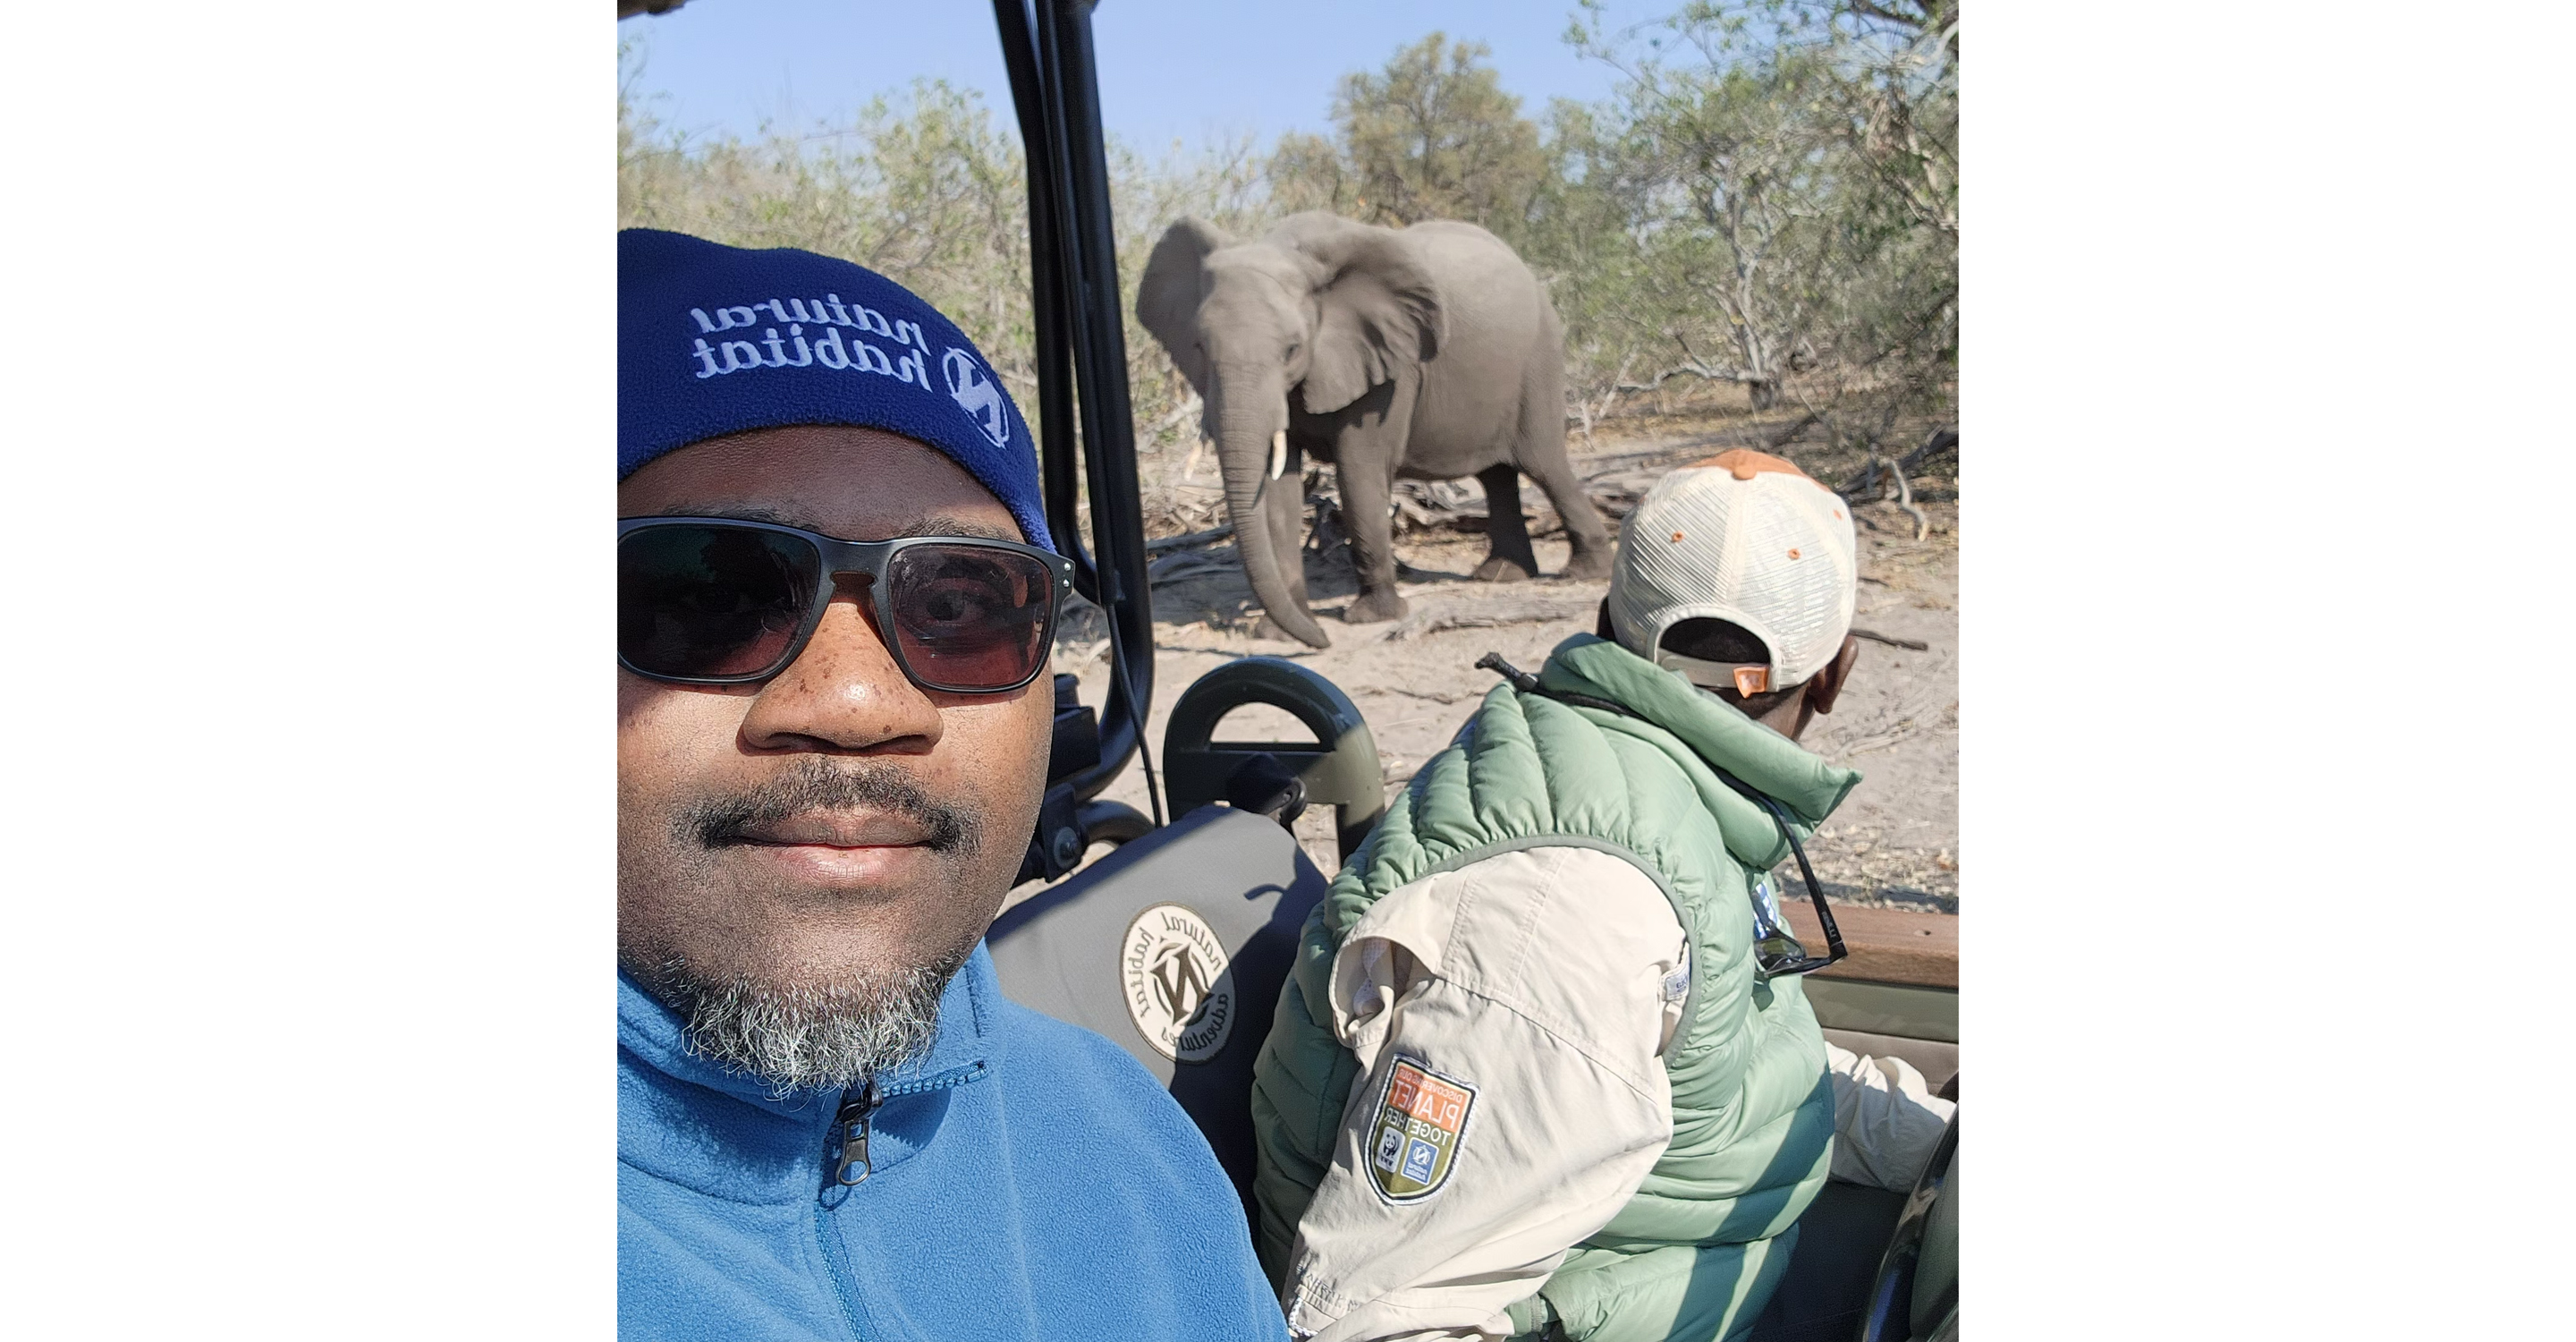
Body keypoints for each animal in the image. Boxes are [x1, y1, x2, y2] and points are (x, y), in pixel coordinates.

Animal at [1133, 212, 1597, 646]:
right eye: (1199, 347)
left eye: (1292, 349)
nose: (1322, 641)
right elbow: (1279, 490)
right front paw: (1284, 634)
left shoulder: (1392, 369)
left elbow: (1359, 472)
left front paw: (1372, 617)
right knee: (1497, 476)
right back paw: (1500, 575)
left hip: (1539, 361)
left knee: (1544, 466)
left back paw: (1582, 573)